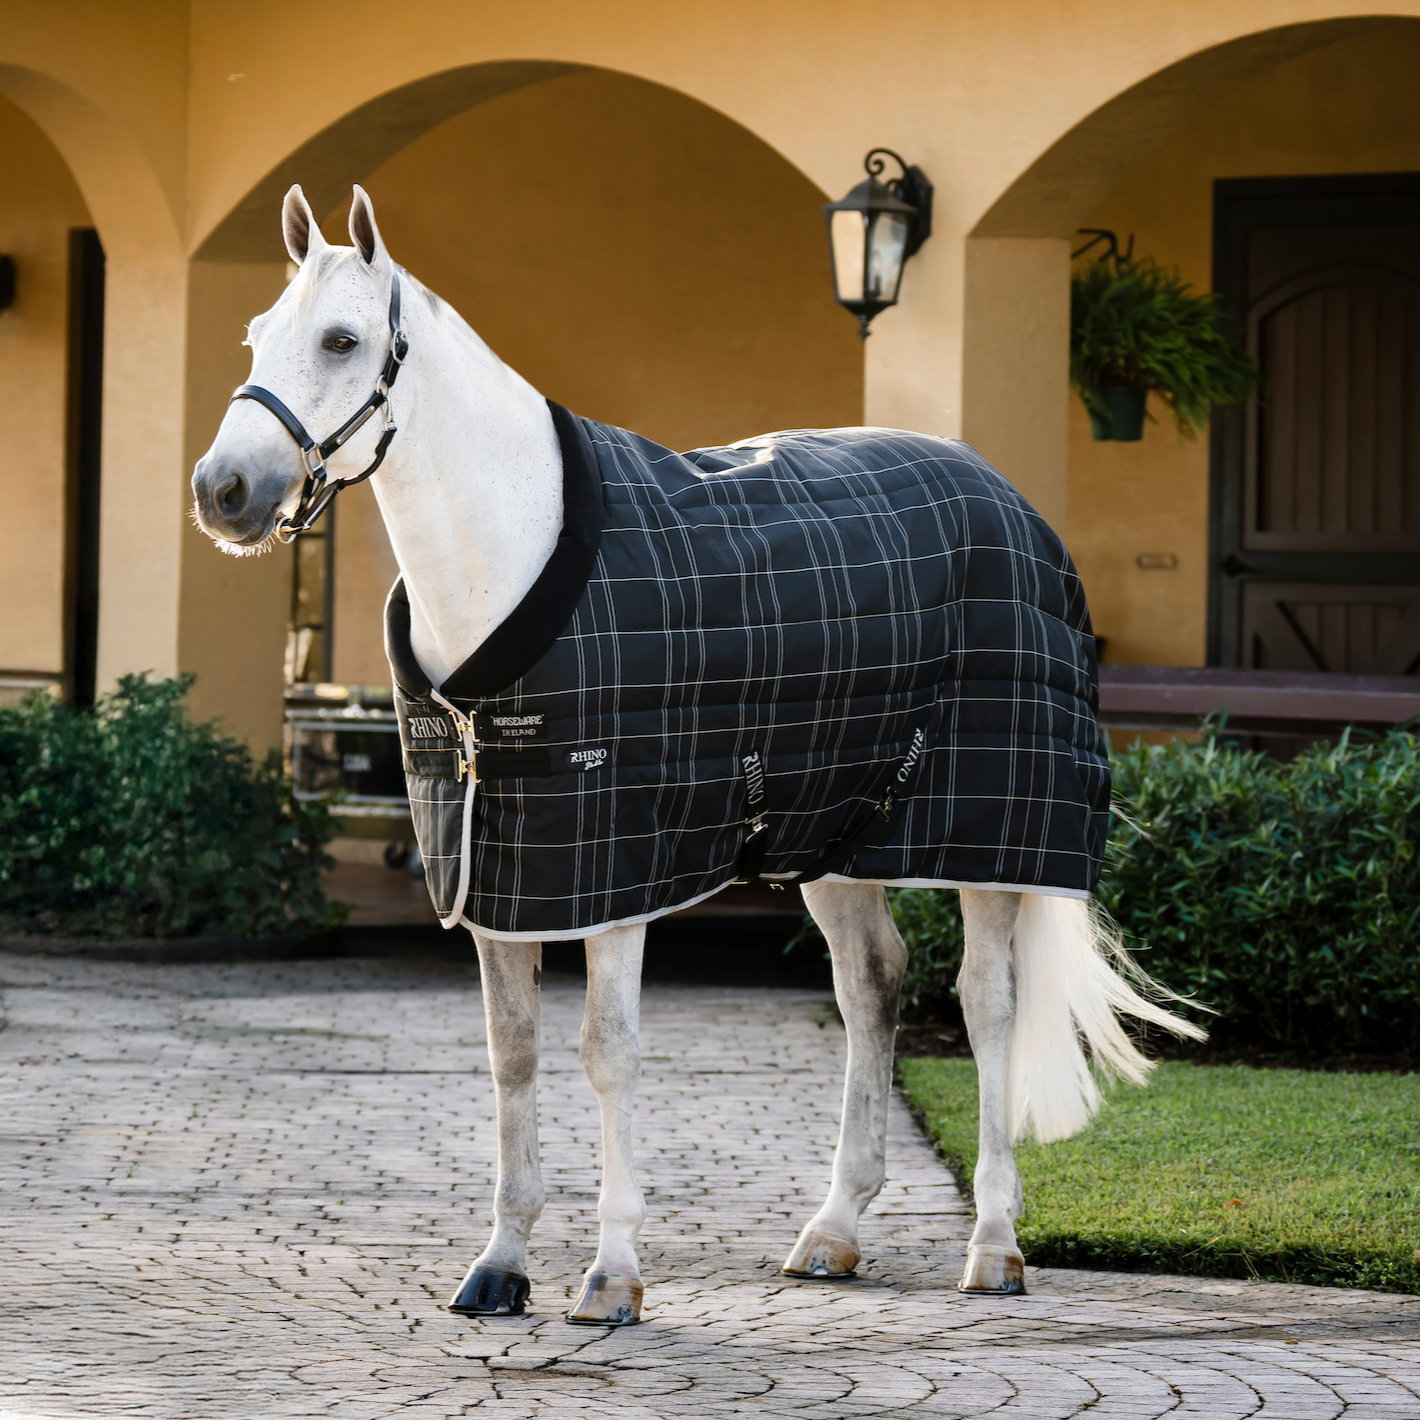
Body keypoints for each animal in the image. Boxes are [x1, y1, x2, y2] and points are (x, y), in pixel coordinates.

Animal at [191, 185, 1203, 1325]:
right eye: (255, 335)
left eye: (341, 338)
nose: (222, 489)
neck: (516, 556)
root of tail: (1010, 499)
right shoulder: (497, 870)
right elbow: (513, 1054)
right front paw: (501, 1263)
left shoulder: (614, 870)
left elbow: (607, 1051)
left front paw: (611, 1274)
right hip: (835, 836)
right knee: (872, 986)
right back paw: (833, 1231)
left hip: (989, 844)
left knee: (986, 1005)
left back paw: (992, 1244)